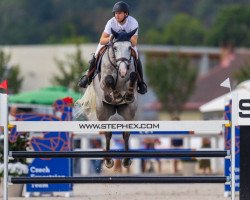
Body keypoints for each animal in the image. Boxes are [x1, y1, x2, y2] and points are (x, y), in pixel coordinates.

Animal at [92, 28, 139, 169]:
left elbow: (133, 75)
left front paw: (127, 94)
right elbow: (109, 80)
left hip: (128, 110)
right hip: (103, 111)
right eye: (115, 48)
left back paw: (127, 160)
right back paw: (108, 161)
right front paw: (116, 95)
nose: (123, 71)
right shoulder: (103, 83)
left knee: (126, 133)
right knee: (107, 133)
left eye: (129, 47)